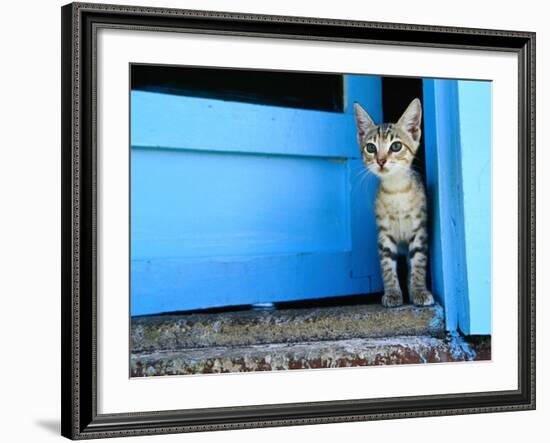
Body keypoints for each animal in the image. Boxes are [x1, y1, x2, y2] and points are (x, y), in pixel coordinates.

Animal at [356, 99, 438, 308]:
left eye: (396, 146)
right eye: (371, 148)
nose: (381, 160)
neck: (396, 191)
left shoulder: (419, 231)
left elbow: (418, 263)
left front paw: (418, 290)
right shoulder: (384, 234)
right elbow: (387, 265)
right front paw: (392, 293)